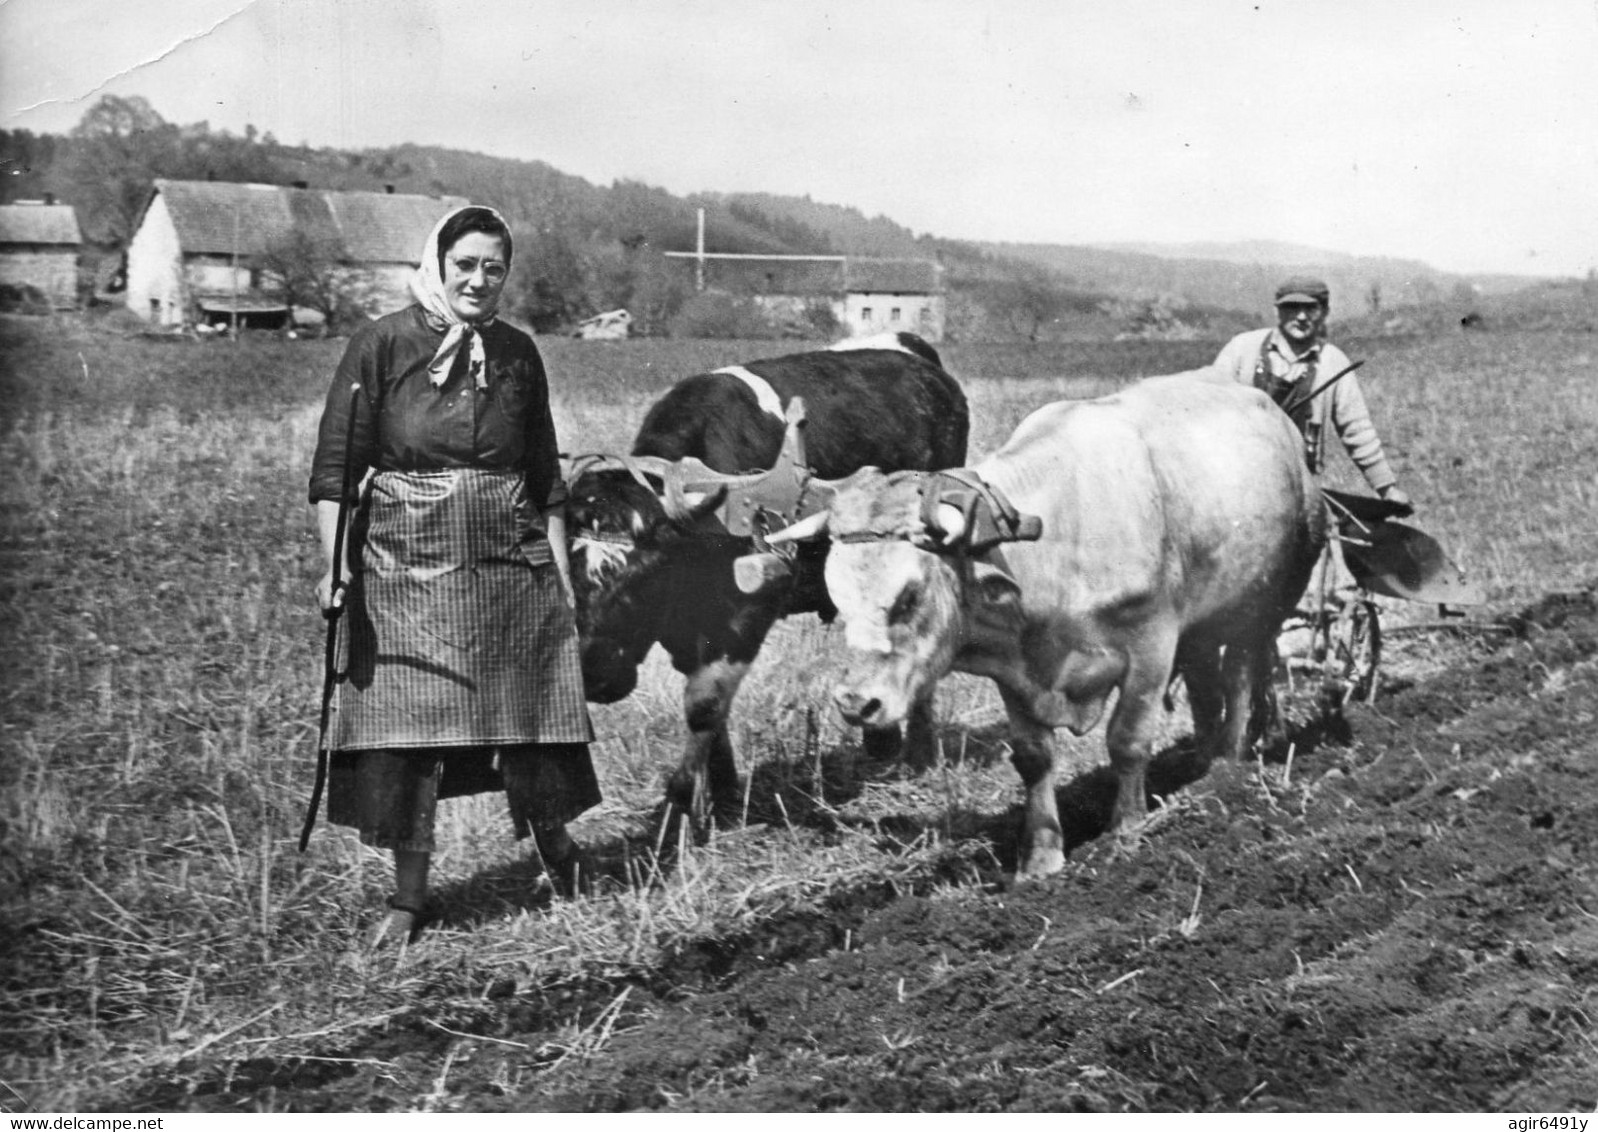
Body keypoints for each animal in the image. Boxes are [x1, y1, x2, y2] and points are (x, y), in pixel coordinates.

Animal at [568, 334, 965, 831]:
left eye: (646, 574)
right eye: (570, 572)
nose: (595, 676)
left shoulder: (745, 617)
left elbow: (704, 706)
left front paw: (676, 810)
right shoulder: (689, 630)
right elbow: (710, 711)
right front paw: (721, 792)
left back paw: (917, 752)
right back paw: (884, 743)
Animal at [767, 375, 1316, 882]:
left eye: (910, 595)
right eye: (837, 597)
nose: (856, 705)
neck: (1058, 538)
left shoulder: (1151, 644)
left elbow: (1128, 741)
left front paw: (1126, 832)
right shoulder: (1016, 672)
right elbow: (1034, 759)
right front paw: (1042, 857)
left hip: (1261, 605)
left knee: (1240, 677)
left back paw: (1226, 767)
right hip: (1204, 623)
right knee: (1206, 684)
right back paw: (1201, 760)